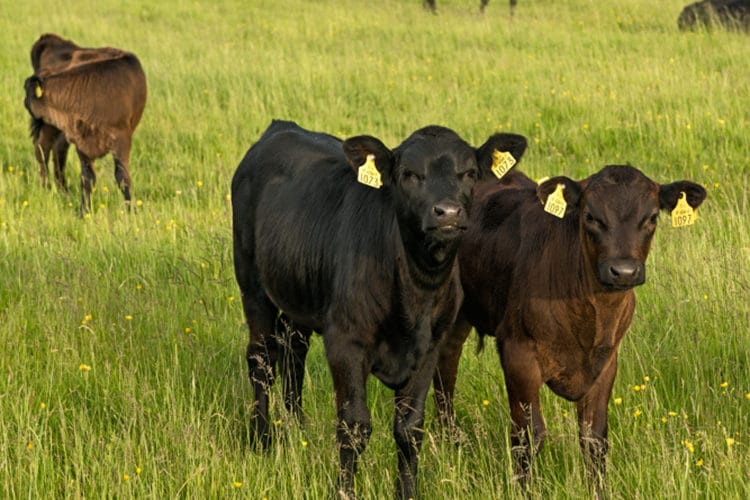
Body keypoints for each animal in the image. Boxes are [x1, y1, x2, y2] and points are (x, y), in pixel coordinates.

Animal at [23, 33, 147, 213]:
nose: (25, 102)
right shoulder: (81, 143)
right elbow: (87, 178)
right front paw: (84, 212)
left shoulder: (121, 141)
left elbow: (122, 177)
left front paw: (131, 211)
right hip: (51, 127)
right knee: (43, 149)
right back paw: (47, 189)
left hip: (56, 129)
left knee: (55, 149)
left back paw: (63, 190)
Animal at [232, 119, 528, 499]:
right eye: (408, 174)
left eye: (470, 173)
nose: (447, 212)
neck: (415, 293)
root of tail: (282, 127)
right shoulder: (346, 343)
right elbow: (355, 426)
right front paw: (344, 491)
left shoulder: (430, 347)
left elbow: (410, 429)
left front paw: (407, 492)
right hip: (252, 285)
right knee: (262, 360)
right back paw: (262, 439)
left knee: (294, 352)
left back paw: (297, 426)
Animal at [433, 166, 706, 495]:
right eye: (590, 216)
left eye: (652, 217)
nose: (623, 271)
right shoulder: (518, 354)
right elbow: (528, 435)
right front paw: (525, 491)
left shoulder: (606, 362)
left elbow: (594, 438)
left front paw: (598, 492)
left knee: (447, 361)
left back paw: (452, 441)